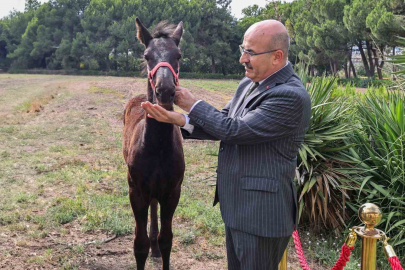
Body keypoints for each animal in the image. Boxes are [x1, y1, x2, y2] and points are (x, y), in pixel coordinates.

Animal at [122, 17, 185, 268]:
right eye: (147, 55)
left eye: (178, 55)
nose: (165, 91)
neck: (156, 147)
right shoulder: (136, 191)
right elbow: (139, 245)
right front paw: (146, 245)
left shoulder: (172, 192)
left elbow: (167, 240)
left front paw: (159, 246)